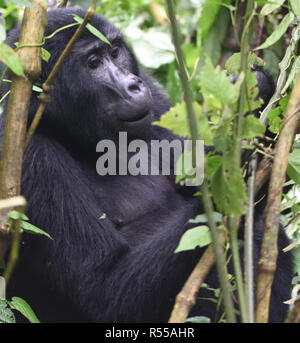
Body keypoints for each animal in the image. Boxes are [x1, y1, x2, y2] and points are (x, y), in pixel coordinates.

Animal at [0, 8, 290, 326]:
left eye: (115, 53)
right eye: (93, 63)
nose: (132, 85)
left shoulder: (155, 98)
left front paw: (255, 96)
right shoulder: (29, 158)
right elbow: (104, 290)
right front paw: (233, 163)